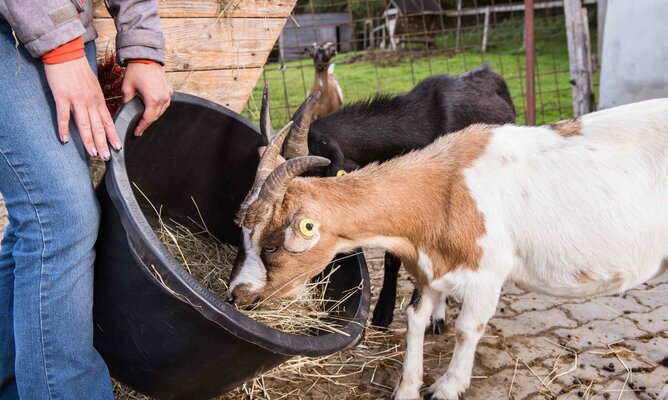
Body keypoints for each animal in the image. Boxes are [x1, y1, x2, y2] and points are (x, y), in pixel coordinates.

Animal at [230, 97, 668, 400]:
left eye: (272, 244)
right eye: (242, 233)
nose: (237, 295)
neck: (445, 187)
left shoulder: (487, 273)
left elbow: (466, 328)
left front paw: (446, 387)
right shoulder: (429, 268)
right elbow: (415, 319)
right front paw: (407, 388)